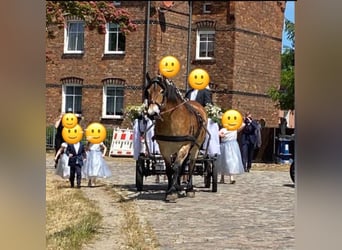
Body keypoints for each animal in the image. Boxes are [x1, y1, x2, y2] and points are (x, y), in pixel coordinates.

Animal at [144, 72, 207, 201]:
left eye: (162, 91)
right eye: (147, 91)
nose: (152, 113)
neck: (171, 119)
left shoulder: (185, 145)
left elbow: (177, 167)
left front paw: (172, 191)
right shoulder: (164, 148)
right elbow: (169, 169)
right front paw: (171, 189)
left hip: (195, 147)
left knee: (191, 165)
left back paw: (189, 189)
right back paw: (178, 186)